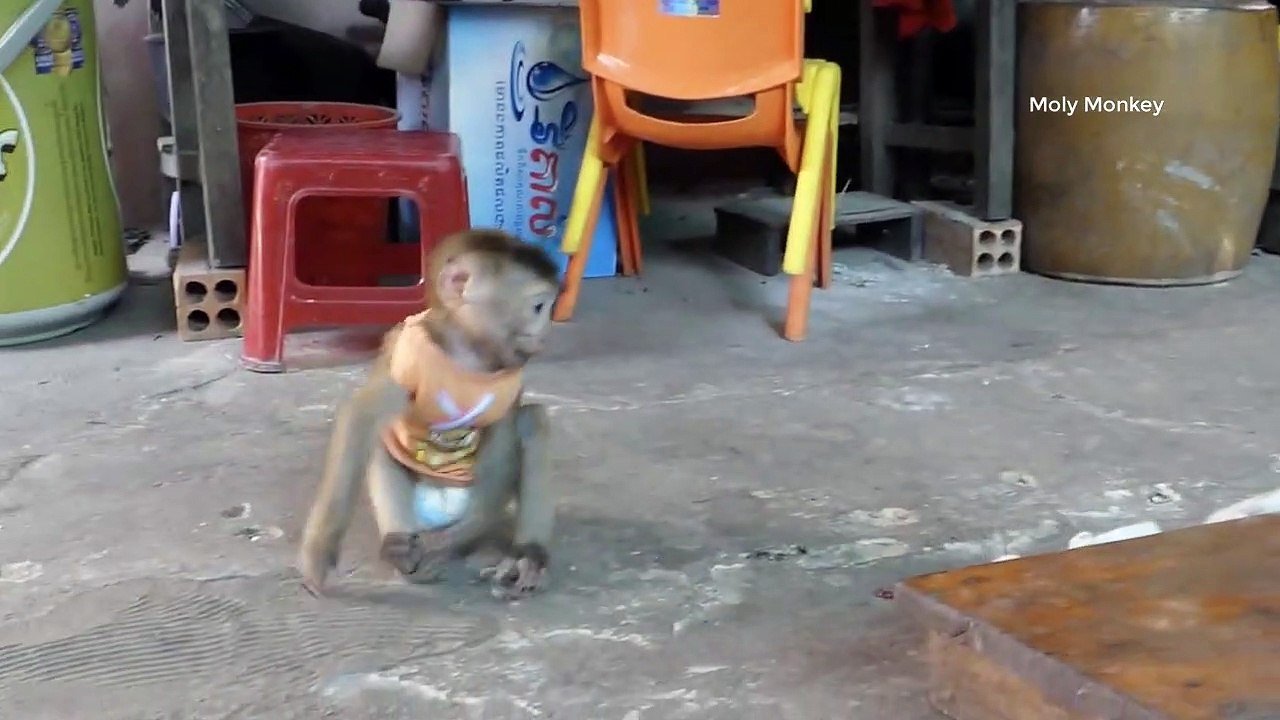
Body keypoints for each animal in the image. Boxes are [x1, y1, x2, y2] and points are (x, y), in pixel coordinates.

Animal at [298, 229, 562, 601]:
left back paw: (523, 554)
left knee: (532, 422)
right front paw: (320, 551)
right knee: (379, 435)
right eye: (539, 306)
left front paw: (461, 540)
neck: (465, 352)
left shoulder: (511, 376)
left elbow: (505, 429)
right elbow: (361, 415)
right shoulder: (407, 354)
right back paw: (397, 545)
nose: (546, 330)